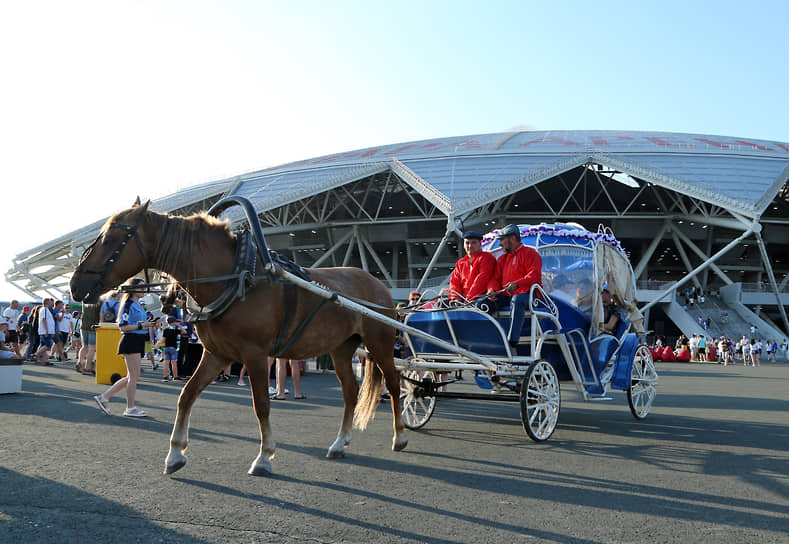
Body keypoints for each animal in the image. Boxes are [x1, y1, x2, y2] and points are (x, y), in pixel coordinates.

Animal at [71, 198, 410, 474]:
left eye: (113, 237)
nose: (75, 284)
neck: (235, 278)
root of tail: (376, 283)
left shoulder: (255, 355)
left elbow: (261, 405)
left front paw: (264, 456)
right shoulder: (217, 354)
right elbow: (187, 395)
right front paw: (176, 453)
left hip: (381, 343)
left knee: (394, 385)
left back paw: (400, 436)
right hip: (341, 349)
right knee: (350, 391)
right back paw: (340, 443)